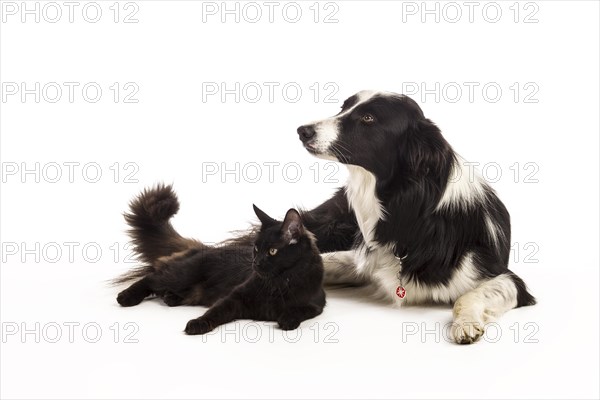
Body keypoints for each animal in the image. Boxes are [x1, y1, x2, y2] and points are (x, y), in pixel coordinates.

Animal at [115, 187, 326, 334]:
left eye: (272, 251)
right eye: (256, 249)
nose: (255, 263)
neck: (280, 282)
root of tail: (206, 248)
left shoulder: (316, 304)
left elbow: (299, 310)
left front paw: (287, 319)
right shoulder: (235, 297)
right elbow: (215, 312)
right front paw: (197, 324)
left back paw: (171, 297)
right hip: (182, 274)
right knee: (151, 279)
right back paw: (126, 297)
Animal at [296, 91, 536, 344]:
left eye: (368, 118)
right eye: (343, 107)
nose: (302, 130)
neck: (409, 212)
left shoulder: (507, 278)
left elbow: (468, 296)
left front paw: (466, 323)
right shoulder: (362, 258)